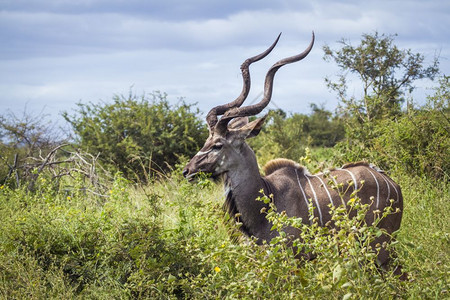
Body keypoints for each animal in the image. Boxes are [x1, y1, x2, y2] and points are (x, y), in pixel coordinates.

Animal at [183, 32, 404, 270]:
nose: (187, 171)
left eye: (218, 144)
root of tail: (393, 184)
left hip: (381, 247)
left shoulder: (294, 259)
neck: (267, 198)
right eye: (206, 140)